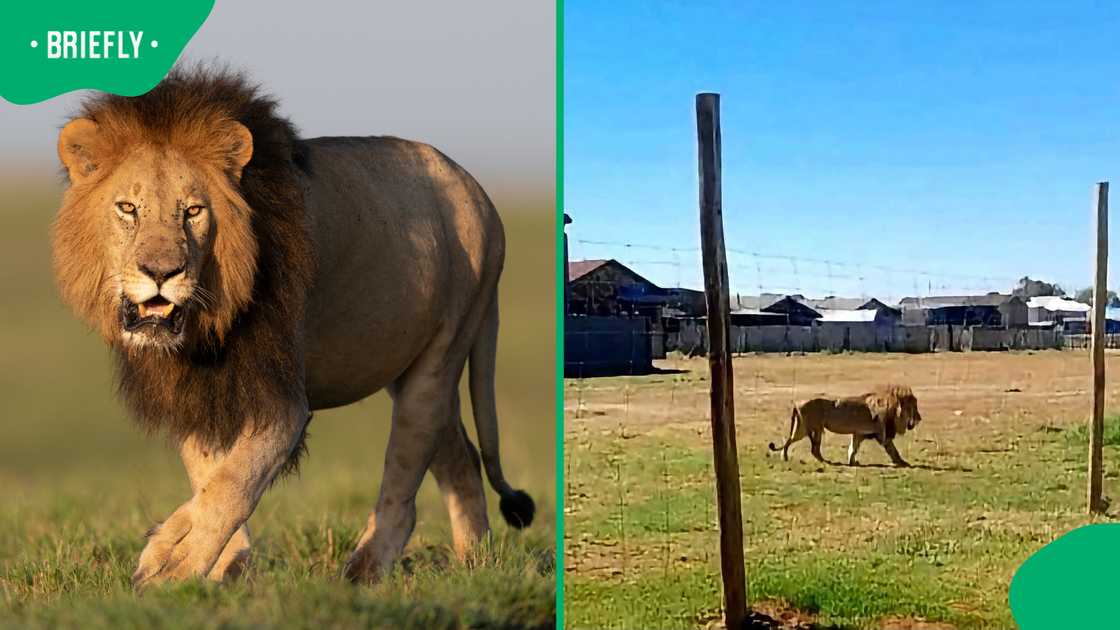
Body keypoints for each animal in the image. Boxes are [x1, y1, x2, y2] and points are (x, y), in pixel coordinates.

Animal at [51, 67, 535, 588]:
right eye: (127, 208)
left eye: (193, 212)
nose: (161, 272)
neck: (205, 327)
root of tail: (481, 193)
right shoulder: (192, 388)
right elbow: (208, 475)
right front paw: (223, 564)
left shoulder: (284, 401)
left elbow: (233, 481)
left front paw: (172, 562)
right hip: (410, 368)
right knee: (460, 456)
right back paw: (476, 564)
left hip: (440, 355)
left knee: (405, 476)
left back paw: (365, 569)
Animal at [768, 385, 922, 467]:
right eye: (913, 407)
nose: (920, 418)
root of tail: (797, 403)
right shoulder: (881, 434)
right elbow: (892, 450)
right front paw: (902, 462)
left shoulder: (859, 432)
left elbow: (853, 448)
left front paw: (852, 462)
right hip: (804, 429)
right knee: (790, 442)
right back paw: (785, 457)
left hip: (815, 429)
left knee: (814, 449)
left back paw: (824, 460)